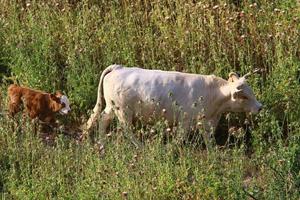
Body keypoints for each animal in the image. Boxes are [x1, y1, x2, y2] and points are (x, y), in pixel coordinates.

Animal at [84, 65, 262, 140]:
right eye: (245, 97)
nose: (260, 107)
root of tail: (118, 67)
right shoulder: (185, 120)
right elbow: (180, 138)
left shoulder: (206, 121)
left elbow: (208, 138)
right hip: (123, 111)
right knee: (127, 130)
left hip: (111, 107)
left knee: (102, 119)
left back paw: (102, 143)